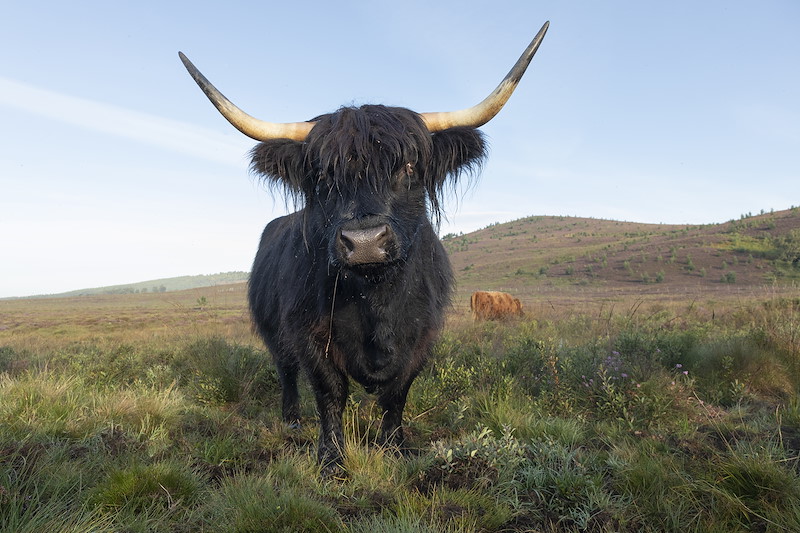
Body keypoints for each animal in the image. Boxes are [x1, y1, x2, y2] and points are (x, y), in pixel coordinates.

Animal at [179, 21, 548, 472]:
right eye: (322, 175)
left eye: (408, 166)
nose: (365, 242)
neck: (375, 298)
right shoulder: (307, 332)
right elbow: (329, 391)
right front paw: (331, 457)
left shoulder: (421, 335)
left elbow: (397, 392)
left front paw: (393, 447)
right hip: (272, 331)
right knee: (286, 372)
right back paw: (292, 420)